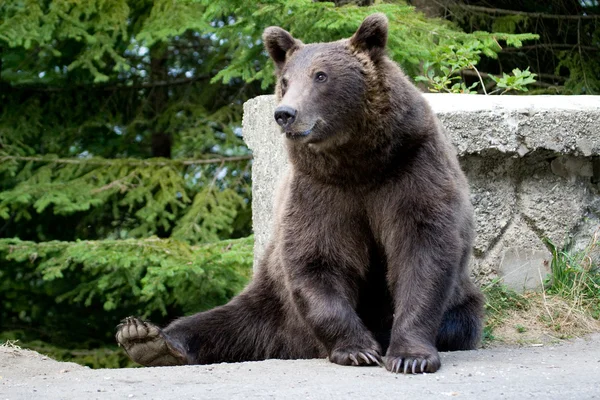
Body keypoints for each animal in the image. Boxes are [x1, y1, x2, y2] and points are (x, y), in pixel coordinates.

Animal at [116, 13, 482, 376]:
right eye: (285, 80)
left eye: (321, 75)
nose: (285, 113)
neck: (358, 163)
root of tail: (291, 347)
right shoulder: (320, 190)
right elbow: (316, 256)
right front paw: (357, 349)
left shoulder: (410, 170)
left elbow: (422, 250)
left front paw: (410, 356)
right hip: (272, 304)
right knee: (219, 322)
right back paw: (146, 338)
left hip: (462, 303)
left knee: (460, 321)